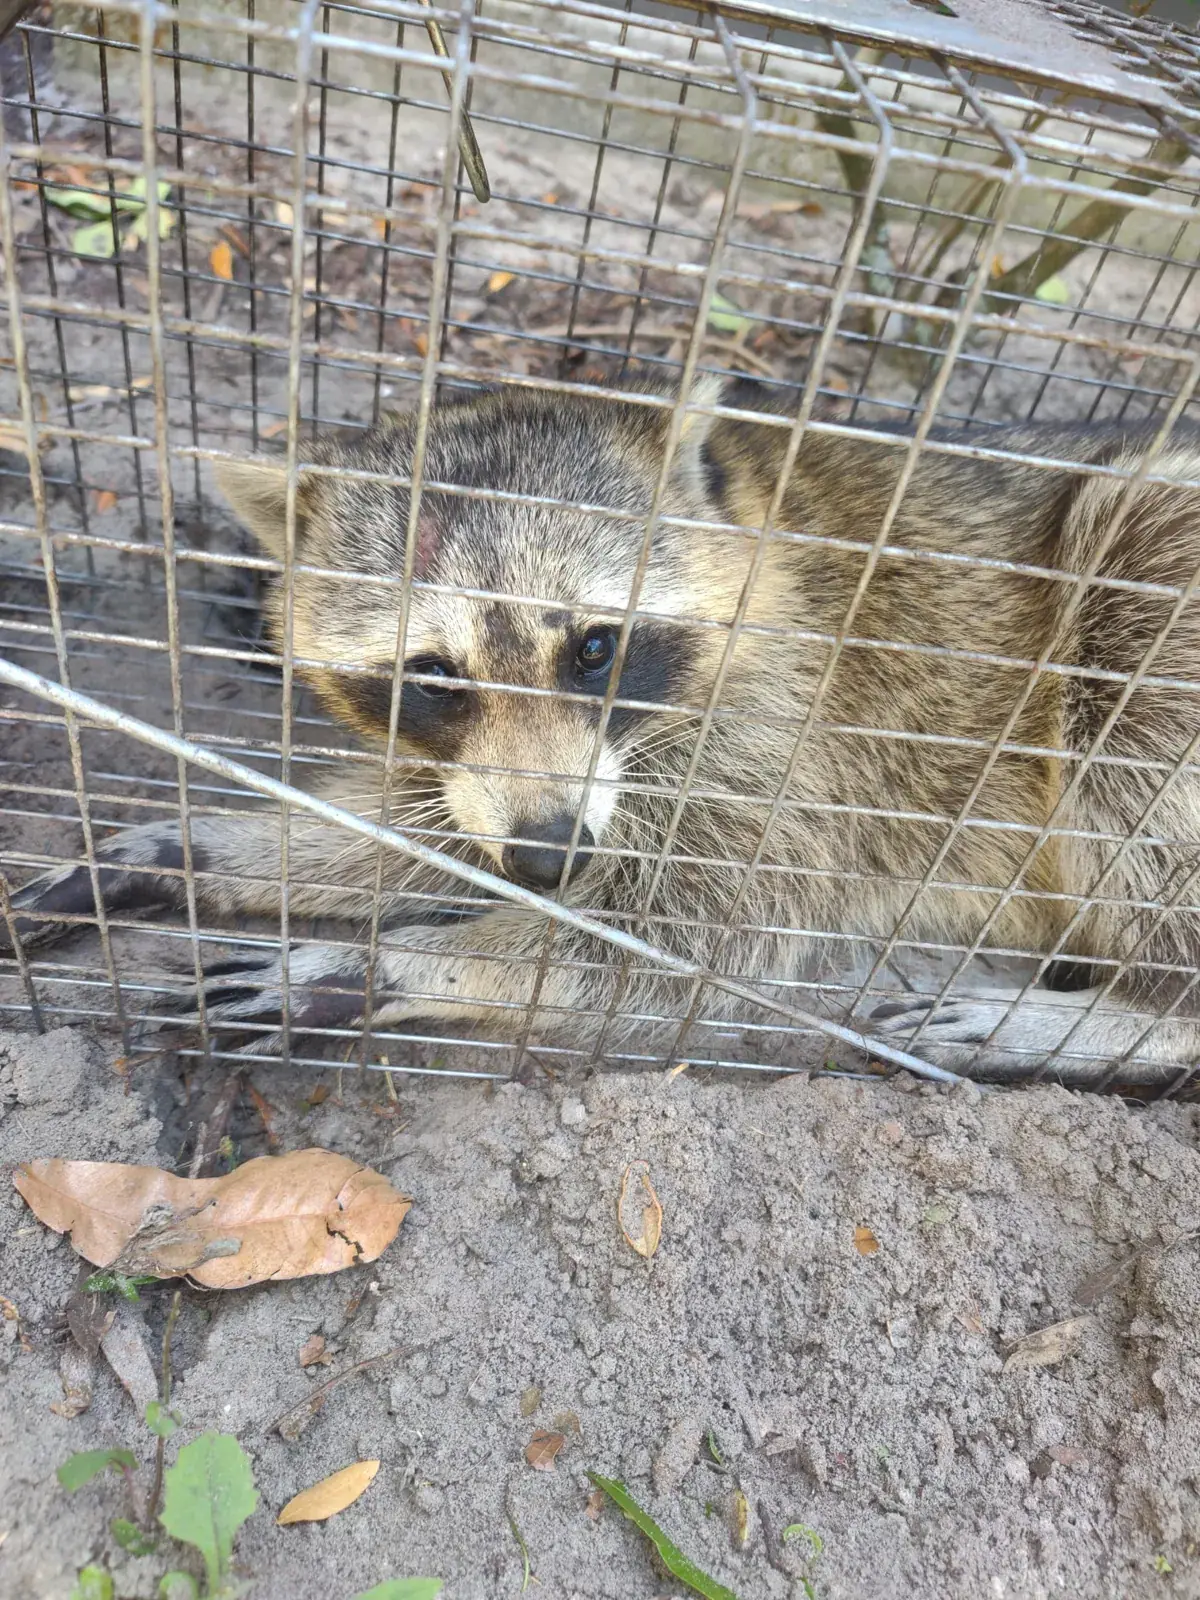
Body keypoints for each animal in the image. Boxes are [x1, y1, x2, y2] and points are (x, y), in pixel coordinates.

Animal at [7, 374, 1200, 1084]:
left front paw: (401, 965)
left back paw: (1131, 1016)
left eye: (593, 648)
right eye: (433, 675)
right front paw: (195, 847)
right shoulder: (483, 773)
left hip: (1150, 575)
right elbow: (424, 831)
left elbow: (700, 937)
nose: (548, 854)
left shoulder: (796, 736)